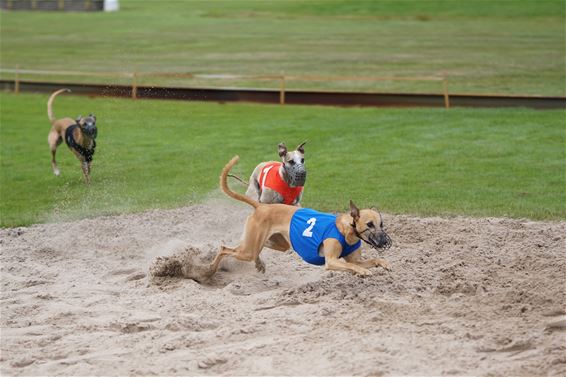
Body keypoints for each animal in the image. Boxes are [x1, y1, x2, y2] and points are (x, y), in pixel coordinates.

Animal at [206, 155, 392, 276]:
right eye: (369, 224)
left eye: (381, 224)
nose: (385, 241)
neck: (346, 230)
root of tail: (261, 206)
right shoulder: (331, 260)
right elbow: (353, 266)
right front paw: (363, 271)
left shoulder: (353, 259)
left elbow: (369, 261)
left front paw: (384, 263)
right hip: (249, 249)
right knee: (224, 249)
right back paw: (209, 271)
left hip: (277, 243)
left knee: (256, 247)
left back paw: (258, 263)